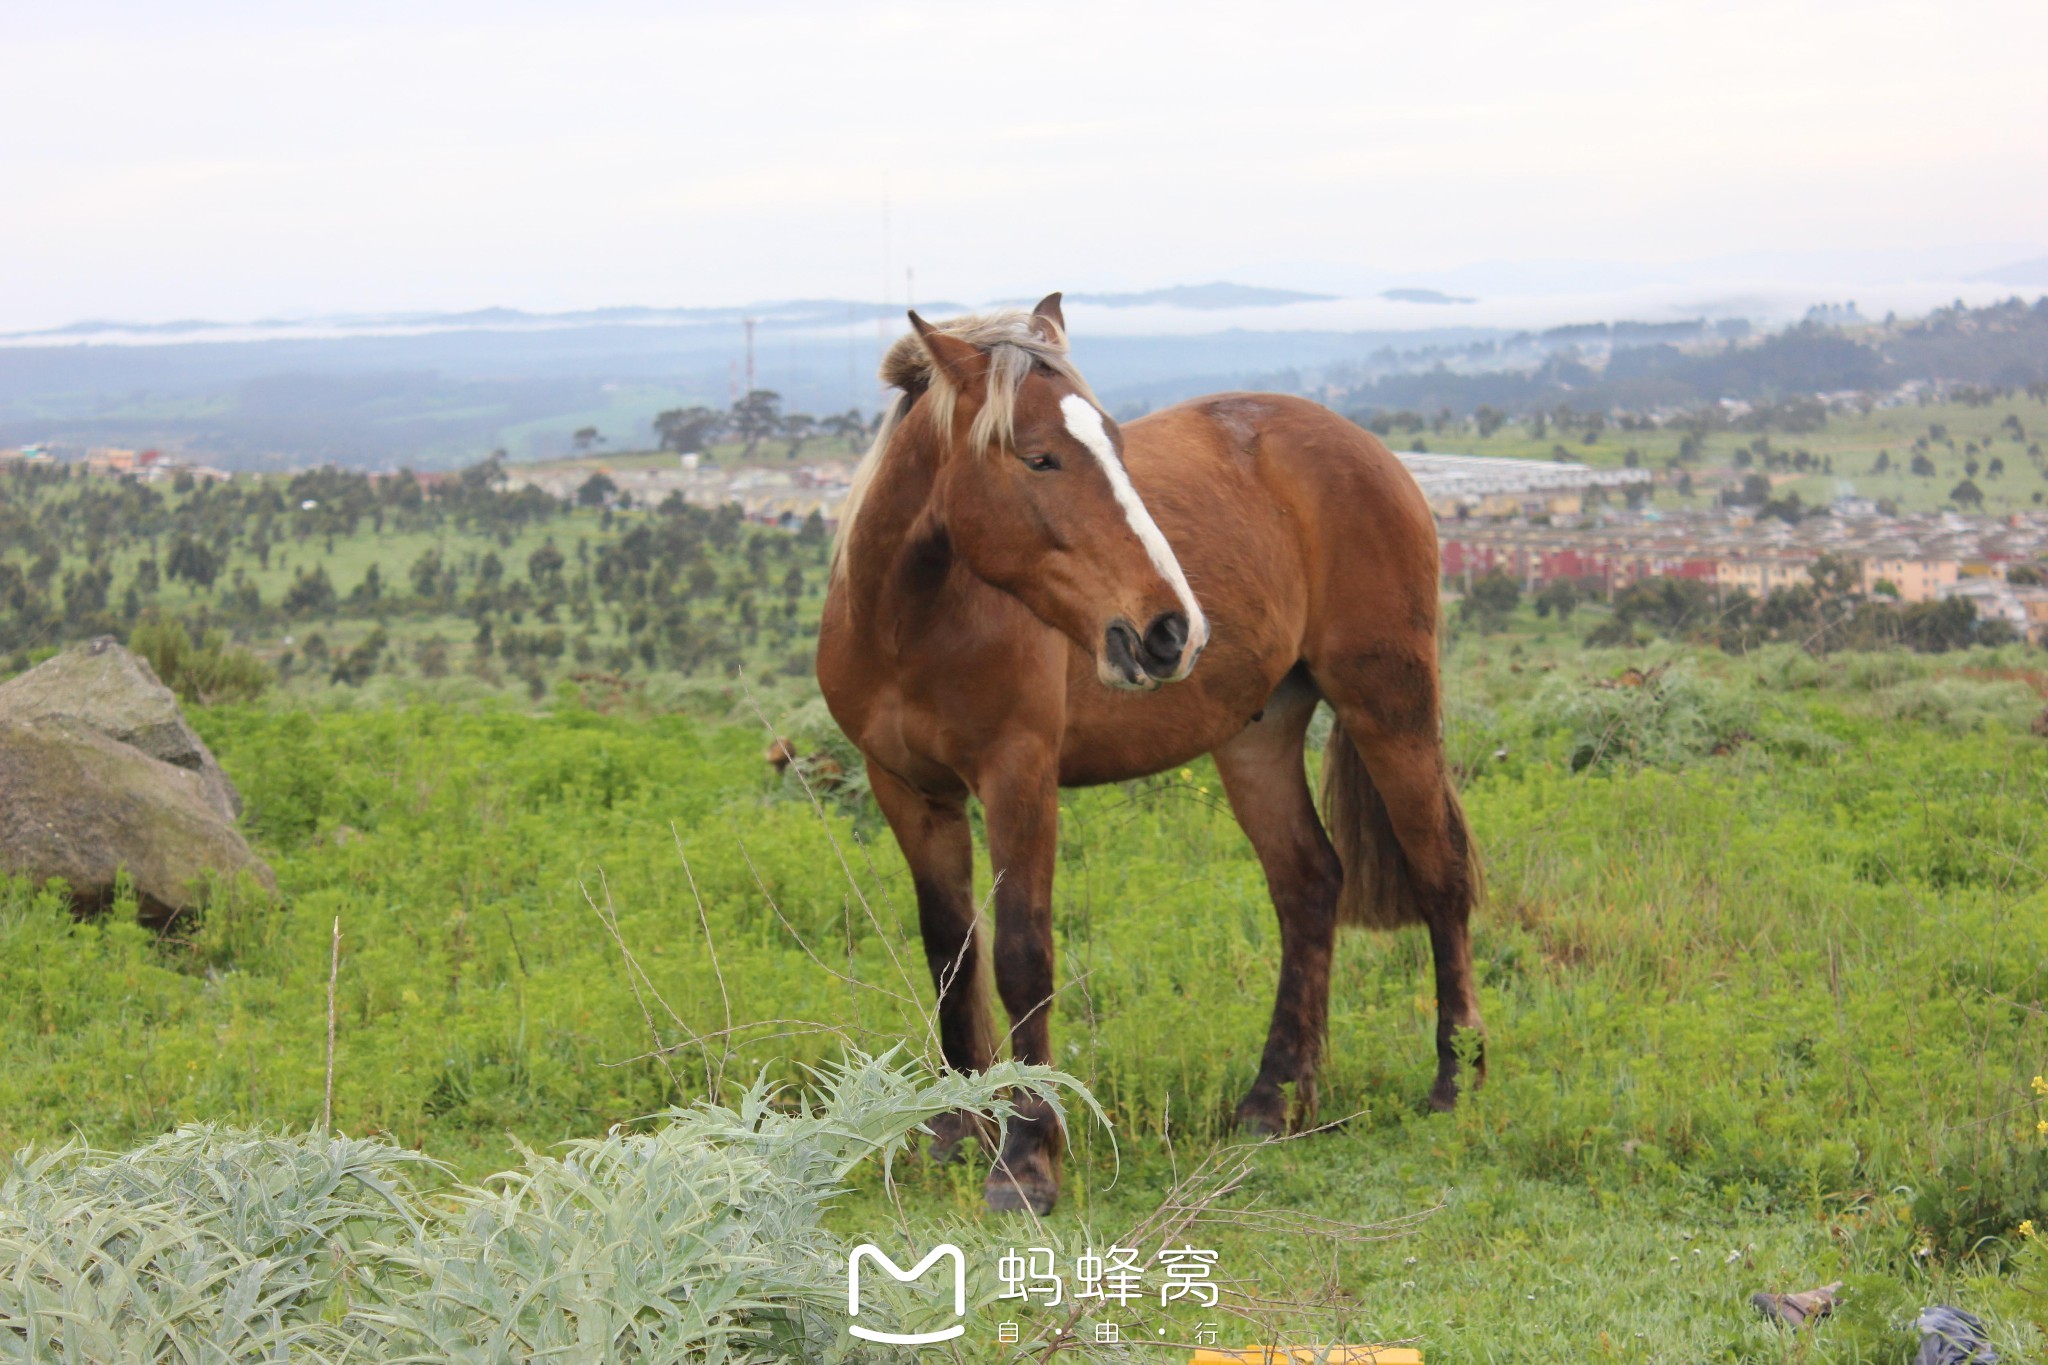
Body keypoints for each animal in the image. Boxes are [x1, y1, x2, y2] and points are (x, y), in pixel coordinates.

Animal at [819, 294, 1490, 1211]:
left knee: (1439, 875)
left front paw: (1027, 1156)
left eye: (1114, 442)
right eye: (1039, 456)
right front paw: (955, 1130)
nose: (1171, 628)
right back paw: (1274, 1099)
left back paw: (1455, 1081)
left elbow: (1023, 954)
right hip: (1258, 733)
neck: (909, 621)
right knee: (1308, 882)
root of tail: (1368, 448)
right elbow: (951, 952)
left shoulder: (1019, 777)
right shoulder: (908, 790)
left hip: (1389, 707)